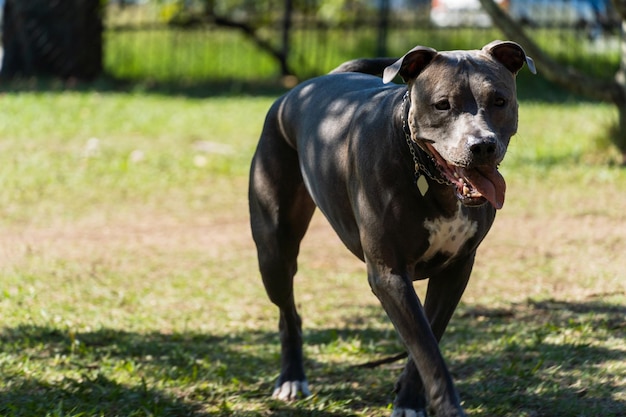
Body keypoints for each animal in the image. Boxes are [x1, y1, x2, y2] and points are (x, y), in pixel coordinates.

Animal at [246, 39, 532, 416]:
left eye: (499, 100)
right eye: (442, 104)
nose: (482, 145)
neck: (427, 173)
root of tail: (303, 87)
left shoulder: (456, 270)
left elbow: (428, 338)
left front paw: (409, 397)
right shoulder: (389, 274)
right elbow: (427, 348)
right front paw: (443, 405)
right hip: (274, 250)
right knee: (287, 312)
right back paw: (291, 377)